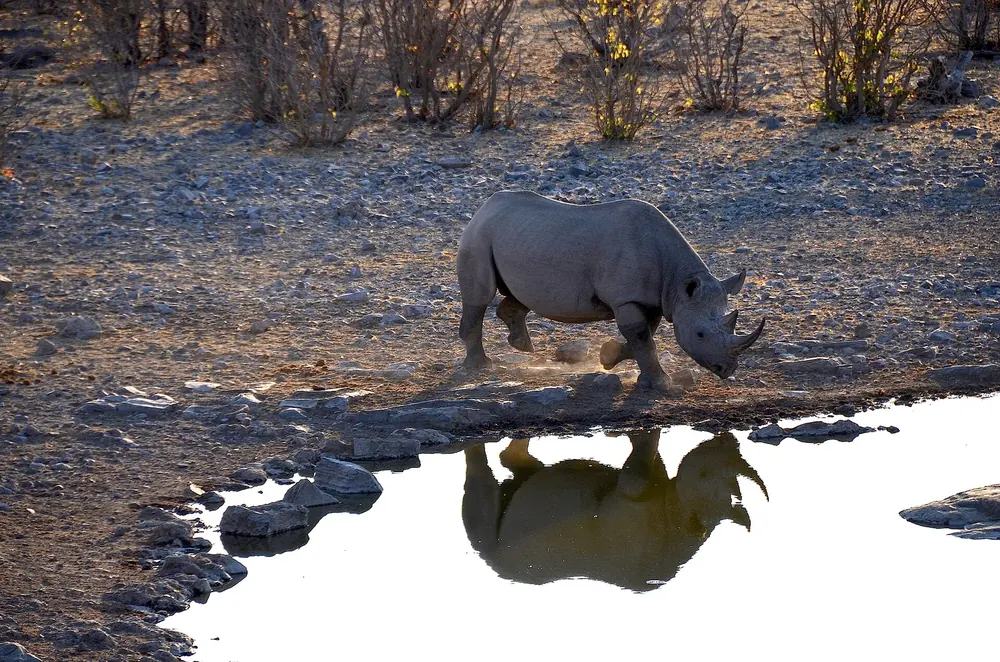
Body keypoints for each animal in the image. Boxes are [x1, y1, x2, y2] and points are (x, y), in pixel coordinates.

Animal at [457, 191, 765, 389]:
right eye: (700, 334)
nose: (727, 370)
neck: (678, 283)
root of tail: (484, 206)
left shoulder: (652, 299)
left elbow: (645, 335)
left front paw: (608, 357)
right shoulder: (627, 298)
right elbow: (641, 336)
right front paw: (662, 384)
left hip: (521, 237)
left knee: (520, 295)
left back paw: (521, 345)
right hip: (479, 236)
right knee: (480, 298)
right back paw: (481, 366)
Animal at [462, 429, 767, 591]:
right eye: (704, 473)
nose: (729, 439)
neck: (683, 522)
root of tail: (494, 566)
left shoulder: (658, 488)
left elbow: (650, 458)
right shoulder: (633, 494)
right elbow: (638, 469)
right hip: (489, 548)